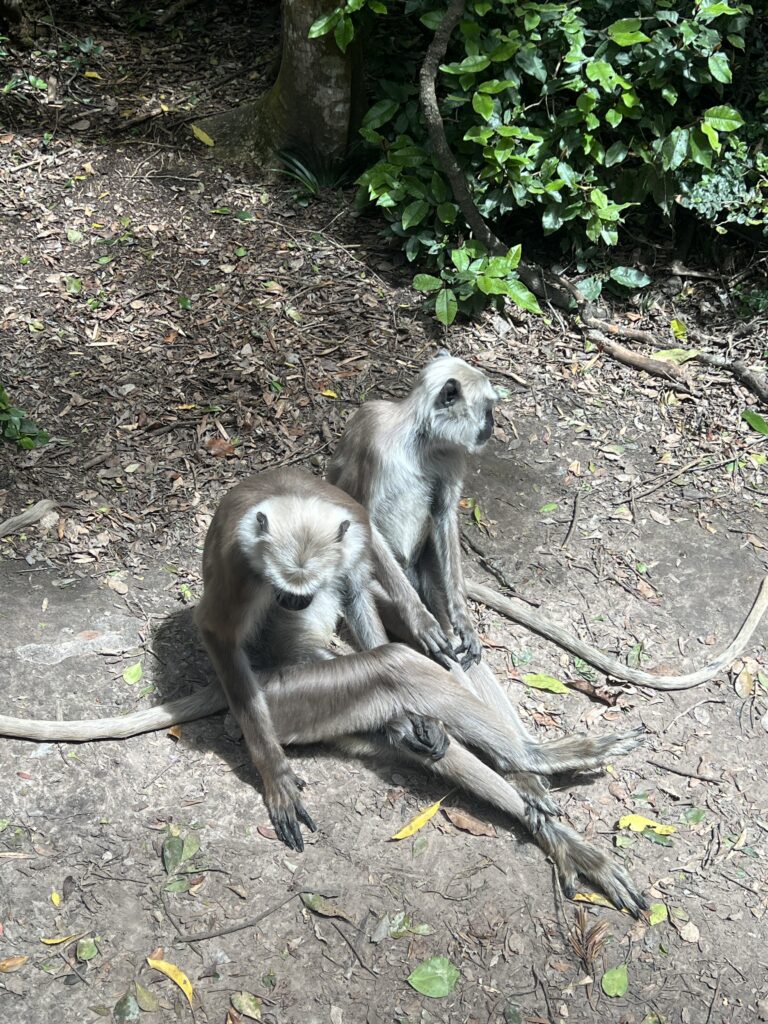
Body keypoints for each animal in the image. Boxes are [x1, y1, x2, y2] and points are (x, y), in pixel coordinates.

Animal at [0, 468, 651, 909]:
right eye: (286, 590)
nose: (295, 603)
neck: (295, 499)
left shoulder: (354, 526)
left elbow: (360, 588)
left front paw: (424, 723)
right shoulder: (242, 559)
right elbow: (217, 629)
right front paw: (275, 776)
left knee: (414, 715)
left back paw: (543, 804)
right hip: (284, 699)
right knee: (393, 667)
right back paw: (536, 762)